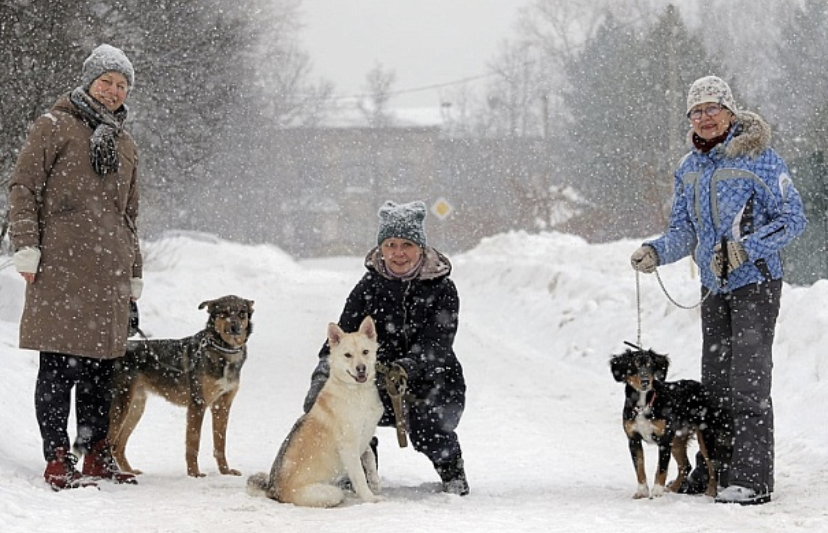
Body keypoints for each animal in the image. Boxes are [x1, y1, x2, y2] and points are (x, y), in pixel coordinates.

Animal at [108, 296, 254, 478]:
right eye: (224, 313)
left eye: (242, 313)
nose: (235, 328)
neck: (223, 350)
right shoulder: (198, 404)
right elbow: (193, 443)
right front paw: (194, 474)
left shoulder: (222, 406)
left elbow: (220, 444)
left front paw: (225, 471)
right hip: (121, 407)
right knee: (107, 443)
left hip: (136, 407)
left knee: (117, 446)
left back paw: (129, 471)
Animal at [246, 316, 384, 508]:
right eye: (347, 355)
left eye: (365, 352)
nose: (361, 368)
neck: (356, 391)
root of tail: (272, 491)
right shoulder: (349, 446)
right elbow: (359, 476)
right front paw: (370, 498)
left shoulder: (365, 438)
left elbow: (370, 459)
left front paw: (375, 483)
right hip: (332, 493)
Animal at [608, 350, 720, 498]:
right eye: (634, 365)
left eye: (650, 365)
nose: (645, 381)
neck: (644, 403)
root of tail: (701, 386)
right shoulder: (633, 439)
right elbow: (639, 468)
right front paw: (642, 492)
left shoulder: (664, 440)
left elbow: (661, 468)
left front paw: (656, 493)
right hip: (677, 438)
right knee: (686, 466)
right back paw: (673, 489)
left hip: (705, 435)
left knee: (712, 465)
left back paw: (711, 492)